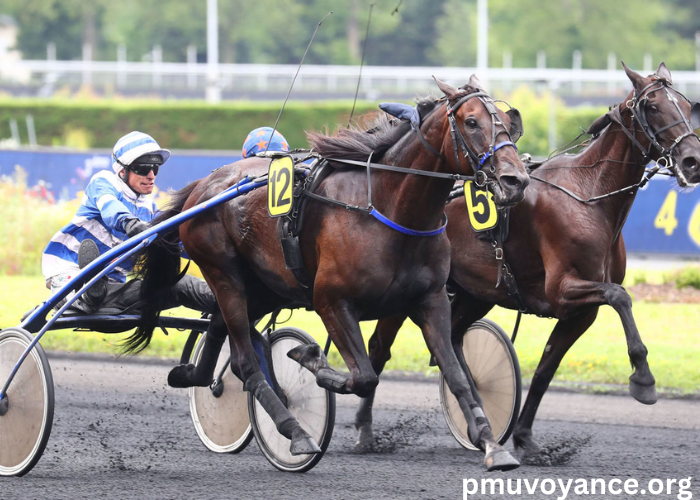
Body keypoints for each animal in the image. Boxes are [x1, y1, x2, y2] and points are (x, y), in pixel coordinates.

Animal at [124, 76, 532, 470]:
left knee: (221, 331)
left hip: (265, 286)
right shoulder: (331, 300)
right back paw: (296, 433)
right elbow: (363, 376)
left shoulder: (430, 300)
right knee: (246, 361)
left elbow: (458, 375)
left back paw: (193, 376)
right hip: (223, 273)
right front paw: (310, 359)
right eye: (471, 121)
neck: (390, 209)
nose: (516, 180)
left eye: (508, 122)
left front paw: (492, 445)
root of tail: (203, 186)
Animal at [356, 62, 700, 464]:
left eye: (686, 105)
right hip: (409, 291)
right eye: (654, 106)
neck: (589, 195)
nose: (692, 161)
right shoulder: (563, 289)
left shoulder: (580, 312)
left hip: (476, 293)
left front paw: (524, 438)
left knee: (452, 339)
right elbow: (620, 296)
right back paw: (365, 430)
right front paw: (643, 379)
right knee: (380, 347)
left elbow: (545, 371)